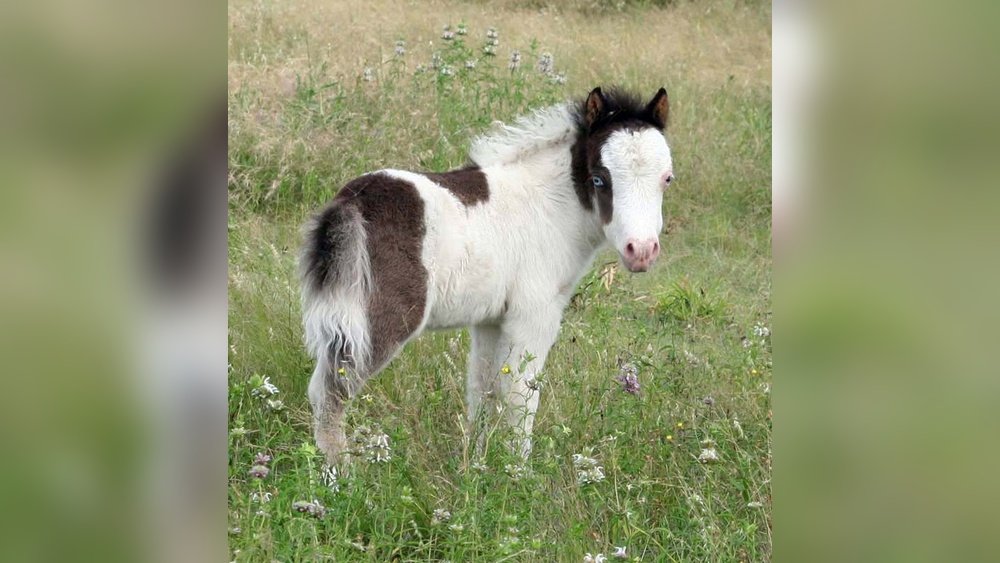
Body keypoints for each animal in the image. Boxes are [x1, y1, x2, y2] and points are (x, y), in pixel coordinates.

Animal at [300, 86, 674, 464]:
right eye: (599, 178)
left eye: (667, 179)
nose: (641, 251)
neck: (549, 205)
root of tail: (350, 202)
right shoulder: (534, 314)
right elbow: (520, 395)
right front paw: (519, 472)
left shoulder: (491, 320)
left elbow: (483, 390)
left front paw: (479, 466)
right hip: (381, 320)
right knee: (331, 392)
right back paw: (341, 474)